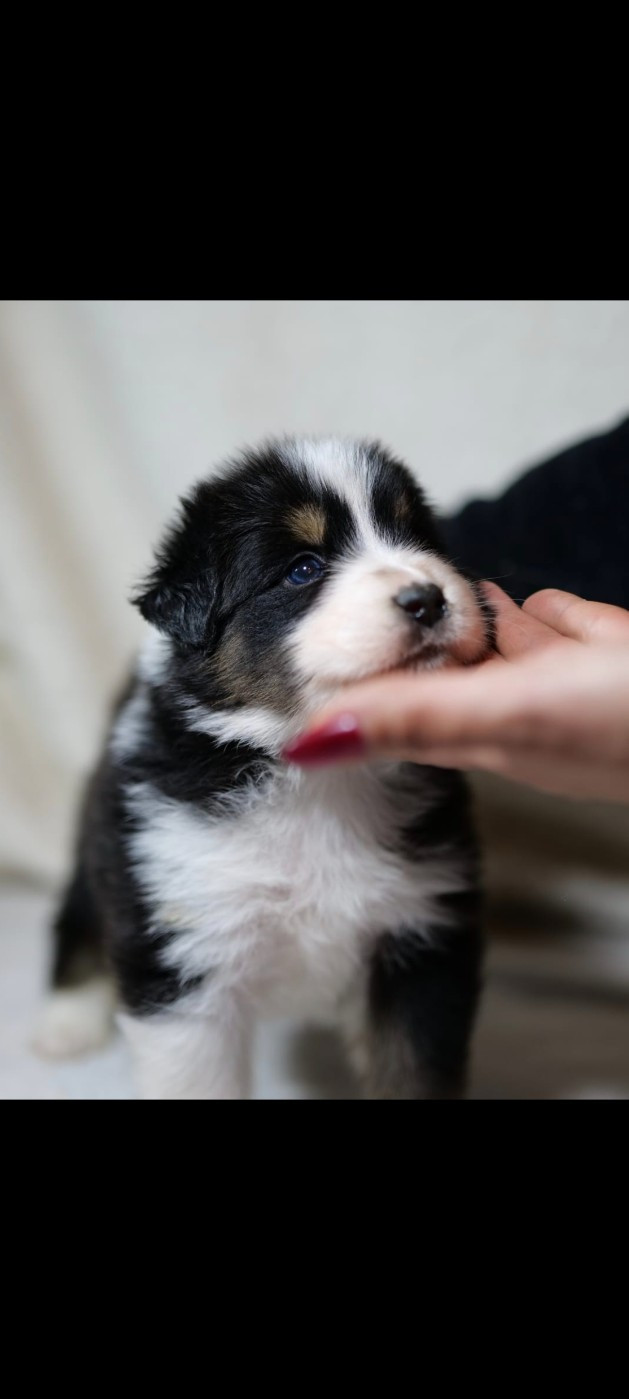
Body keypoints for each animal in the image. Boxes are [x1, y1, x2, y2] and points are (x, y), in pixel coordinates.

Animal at [34, 437, 494, 1098]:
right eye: (303, 568)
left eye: (419, 539)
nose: (427, 598)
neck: (319, 781)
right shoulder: (182, 939)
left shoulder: (423, 934)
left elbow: (414, 1070)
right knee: (79, 912)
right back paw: (67, 1021)